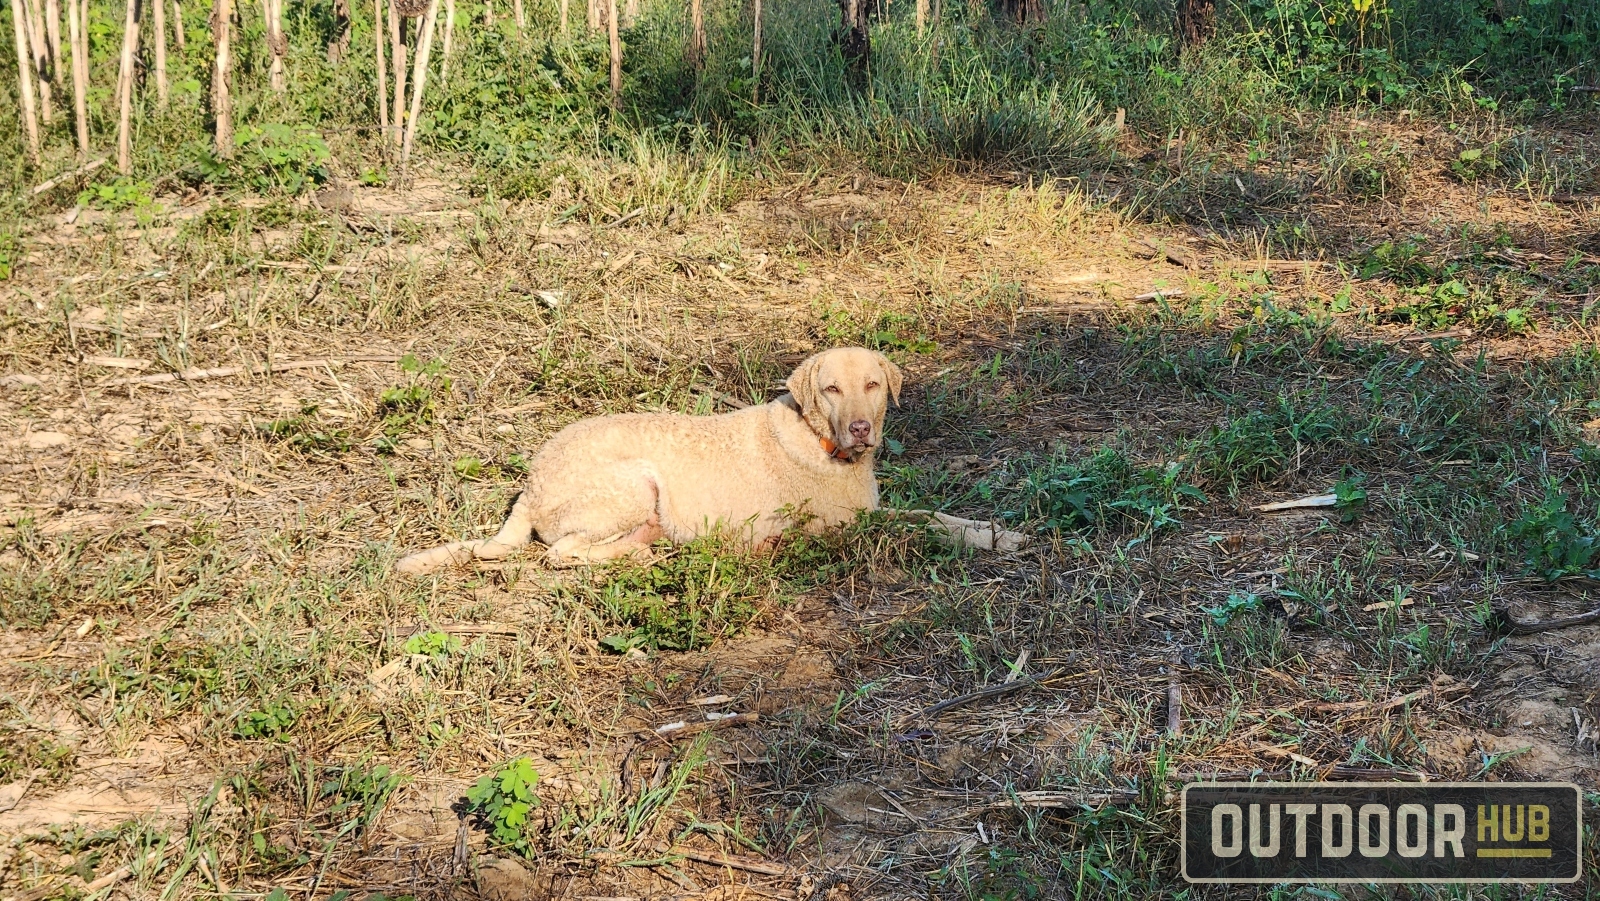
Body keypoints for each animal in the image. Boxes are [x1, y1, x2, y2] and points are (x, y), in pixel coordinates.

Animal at [392, 348, 902, 576]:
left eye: (873, 385)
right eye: (831, 388)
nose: (861, 428)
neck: (818, 437)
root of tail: (531, 485)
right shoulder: (847, 523)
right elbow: (915, 519)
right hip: (635, 483)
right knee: (561, 553)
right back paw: (637, 552)